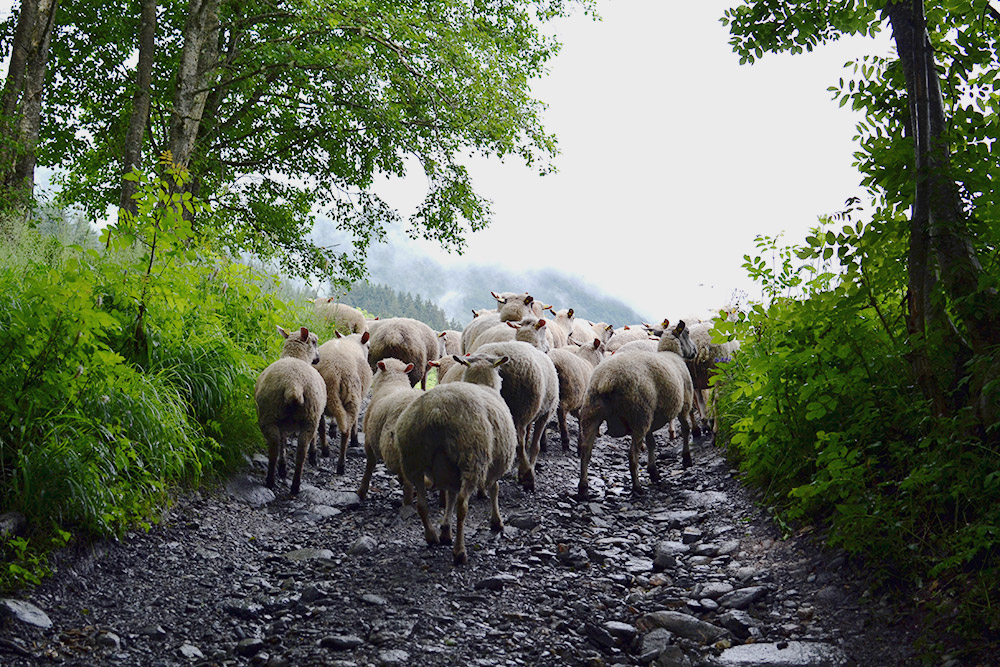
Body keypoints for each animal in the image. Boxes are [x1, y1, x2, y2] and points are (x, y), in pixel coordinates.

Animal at [254, 326, 328, 494]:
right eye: (315, 341)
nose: (318, 359)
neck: (296, 357)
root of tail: (293, 385)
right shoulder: (316, 416)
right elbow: (314, 437)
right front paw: (314, 456)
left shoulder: (282, 424)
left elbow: (283, 442)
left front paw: (283, 467)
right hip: (309, 417)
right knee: (300, 450)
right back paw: (294, 484)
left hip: (269, 414)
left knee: (275, 445)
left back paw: (273, 479)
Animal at [318, 330, 374, 474]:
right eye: (369, 346)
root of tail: (332, 373)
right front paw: (355, 440)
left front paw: (332, 429)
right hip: (352, 394)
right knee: (346, 431)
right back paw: (341, 465)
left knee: (321, 426)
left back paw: (325, 449)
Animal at [474, 340, 560, 490]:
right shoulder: (544, 414)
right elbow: (534, 446)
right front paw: (529, 470)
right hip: (520, 411)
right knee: (519, 443)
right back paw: (526, 476)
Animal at [576, 320, 700, 498]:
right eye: (687, 333)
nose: (695, 351)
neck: (672, 353)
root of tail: (606, 379)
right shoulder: (684, 404)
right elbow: (685, 429)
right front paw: (686, 458)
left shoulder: (652, 417)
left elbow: (651, 443)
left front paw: (653, 471)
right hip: (639, 414)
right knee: (632, 455)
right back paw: (637, 487)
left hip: (592, 412)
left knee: (586, 451)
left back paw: (583, 487)